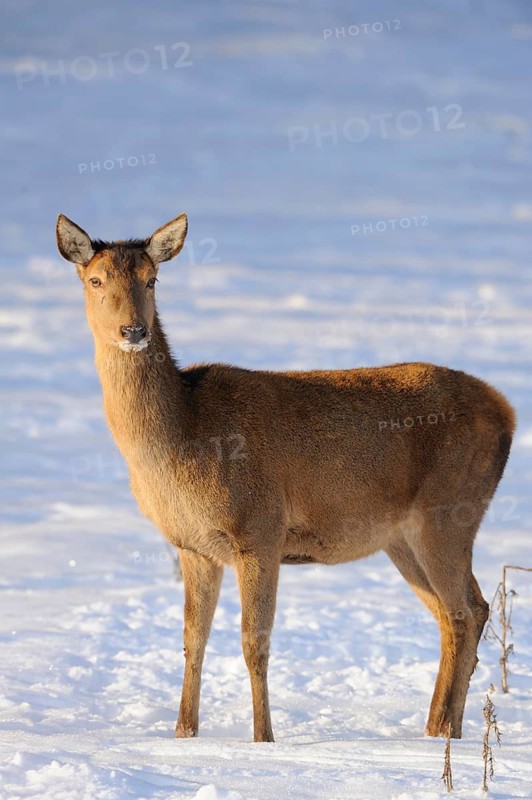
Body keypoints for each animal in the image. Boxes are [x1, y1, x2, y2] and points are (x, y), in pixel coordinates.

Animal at [56, 212, 515, 743]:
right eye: (96, 279)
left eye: (152, 279)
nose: (133, 330)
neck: (181, 440)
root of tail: (508, 413)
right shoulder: (193, 544)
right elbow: (194, 638)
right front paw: (183, 734)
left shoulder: (260, 529)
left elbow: (253, 643)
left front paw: (264, 740)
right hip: (401, 539)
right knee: (457, 612)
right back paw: (436, 729)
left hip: (450, 512)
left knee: (465, 612)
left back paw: (444, 734)